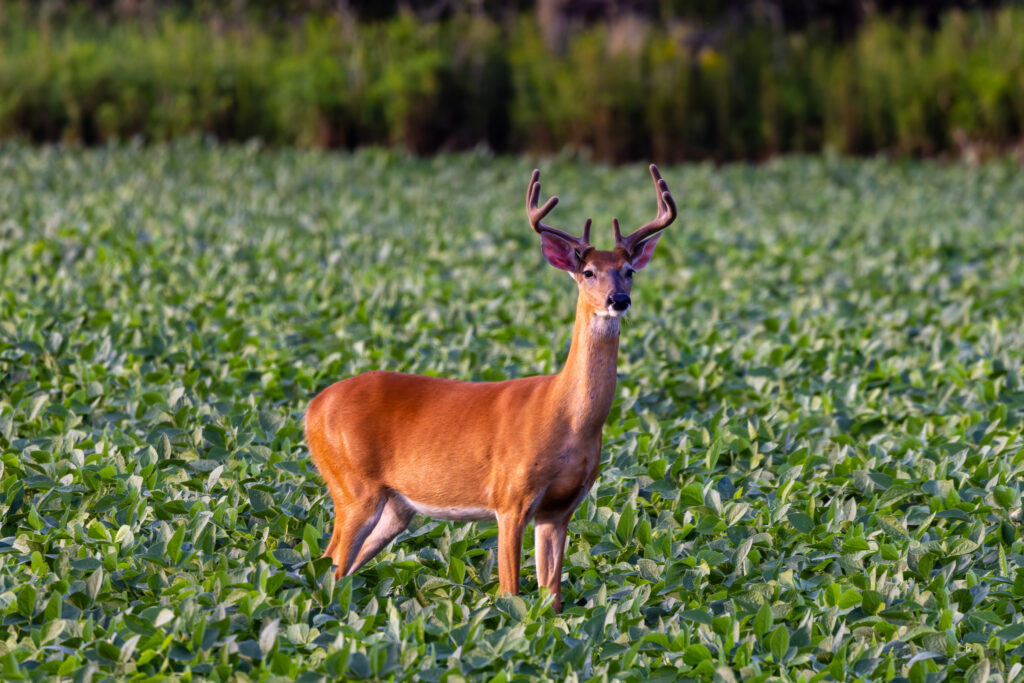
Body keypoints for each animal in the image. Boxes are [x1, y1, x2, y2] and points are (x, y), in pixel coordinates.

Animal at [305, 165, 676, 613]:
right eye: (588, 272)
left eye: (629, 270)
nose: (618, 299)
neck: (565, 416)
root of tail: (311, 408)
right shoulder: (509, 497)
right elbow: (509, 591)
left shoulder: (560, 509)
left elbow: (552, 597)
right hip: (351, 484)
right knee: (330, 560)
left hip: (395, 506)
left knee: (340, 566)